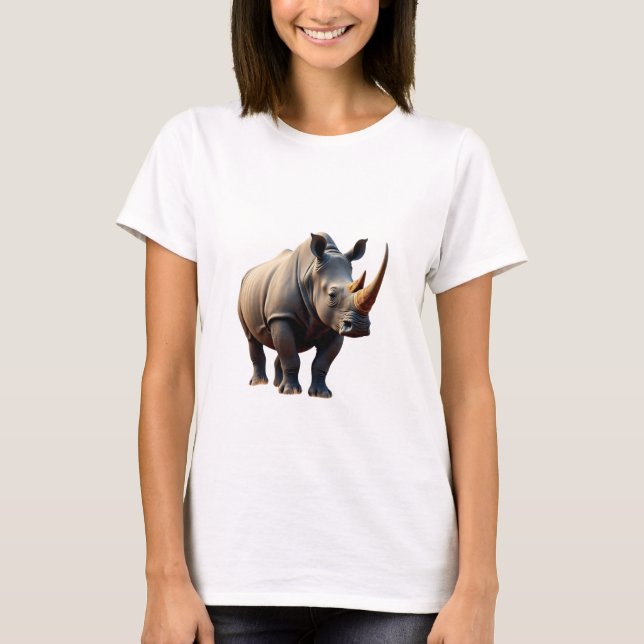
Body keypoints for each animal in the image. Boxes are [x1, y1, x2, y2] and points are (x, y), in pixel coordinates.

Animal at [237, 232, 389, 398]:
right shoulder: (281, 315)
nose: (359, 327)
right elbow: (291, 356)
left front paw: (321, 394)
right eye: (332, 295)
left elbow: (321, 362)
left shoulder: (334, 322)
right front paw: (291, 392)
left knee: (281, 345)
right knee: (252, 338)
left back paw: (277, 384)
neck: (310, 275)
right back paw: (259, 383)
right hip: (243, 292)